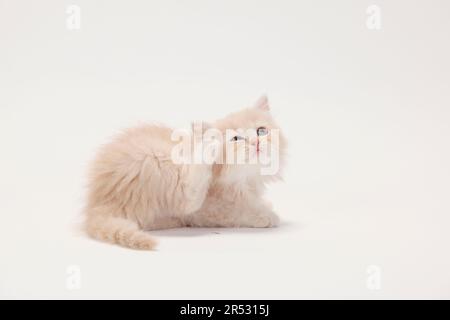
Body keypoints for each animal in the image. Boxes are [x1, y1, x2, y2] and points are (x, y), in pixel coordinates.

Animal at [86, 95, 286, 250]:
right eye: (236, 139)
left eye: (261, 131)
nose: (256, 143)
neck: (244, 178)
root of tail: (96, 203)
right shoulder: (208, 210)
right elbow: (236, 212)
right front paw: (266, 216)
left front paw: (264, 205)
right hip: (153, 160)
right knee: (185, 200)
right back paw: (209, 145)